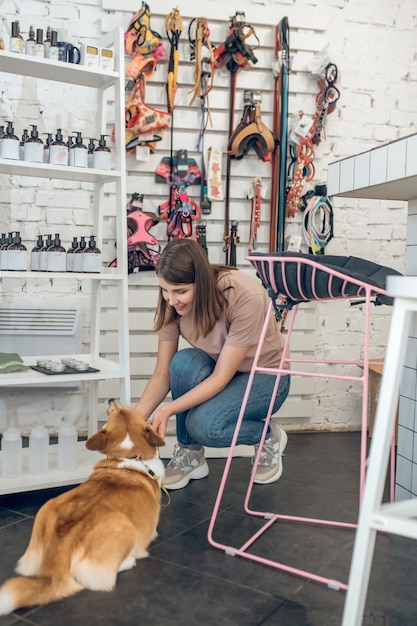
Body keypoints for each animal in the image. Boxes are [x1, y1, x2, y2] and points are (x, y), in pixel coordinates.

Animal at [0, 400, 164, 616]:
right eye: (118, 409)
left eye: (124, 409)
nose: (111, 400)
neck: (129, 455)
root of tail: (62, 543)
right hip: (125, 531)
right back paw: (129, 561)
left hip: (43, 516)